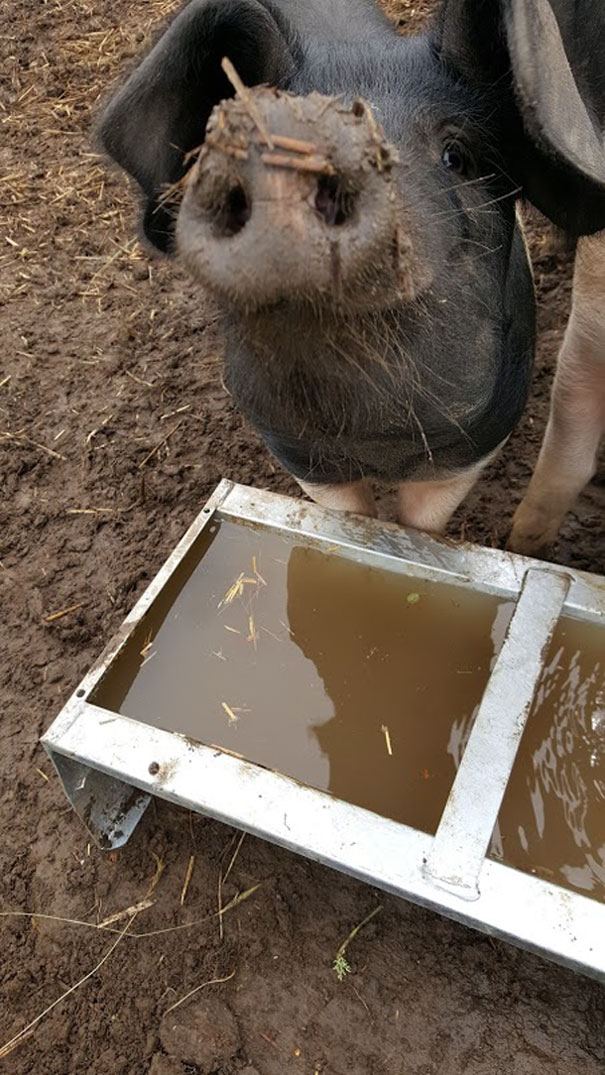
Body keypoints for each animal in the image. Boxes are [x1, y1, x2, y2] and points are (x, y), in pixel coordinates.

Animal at [99, 0, 605, 528]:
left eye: (456, 155)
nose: (310, 152)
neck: (378, 440)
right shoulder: (300, 453)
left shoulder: (473, 449)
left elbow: (420, 526)